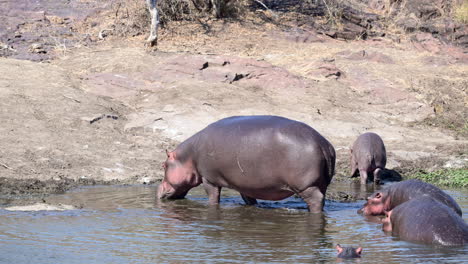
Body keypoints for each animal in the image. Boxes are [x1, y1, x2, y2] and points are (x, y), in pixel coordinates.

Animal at [157, 115, 336, 212]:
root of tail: (323, 144)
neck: (189, 156)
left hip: (307, 186)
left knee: (316, 200)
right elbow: (249, 200)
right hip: (321, 184)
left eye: (163, 165)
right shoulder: (245, 184)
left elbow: (213, 198)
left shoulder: (209, 180)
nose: (157, 191)